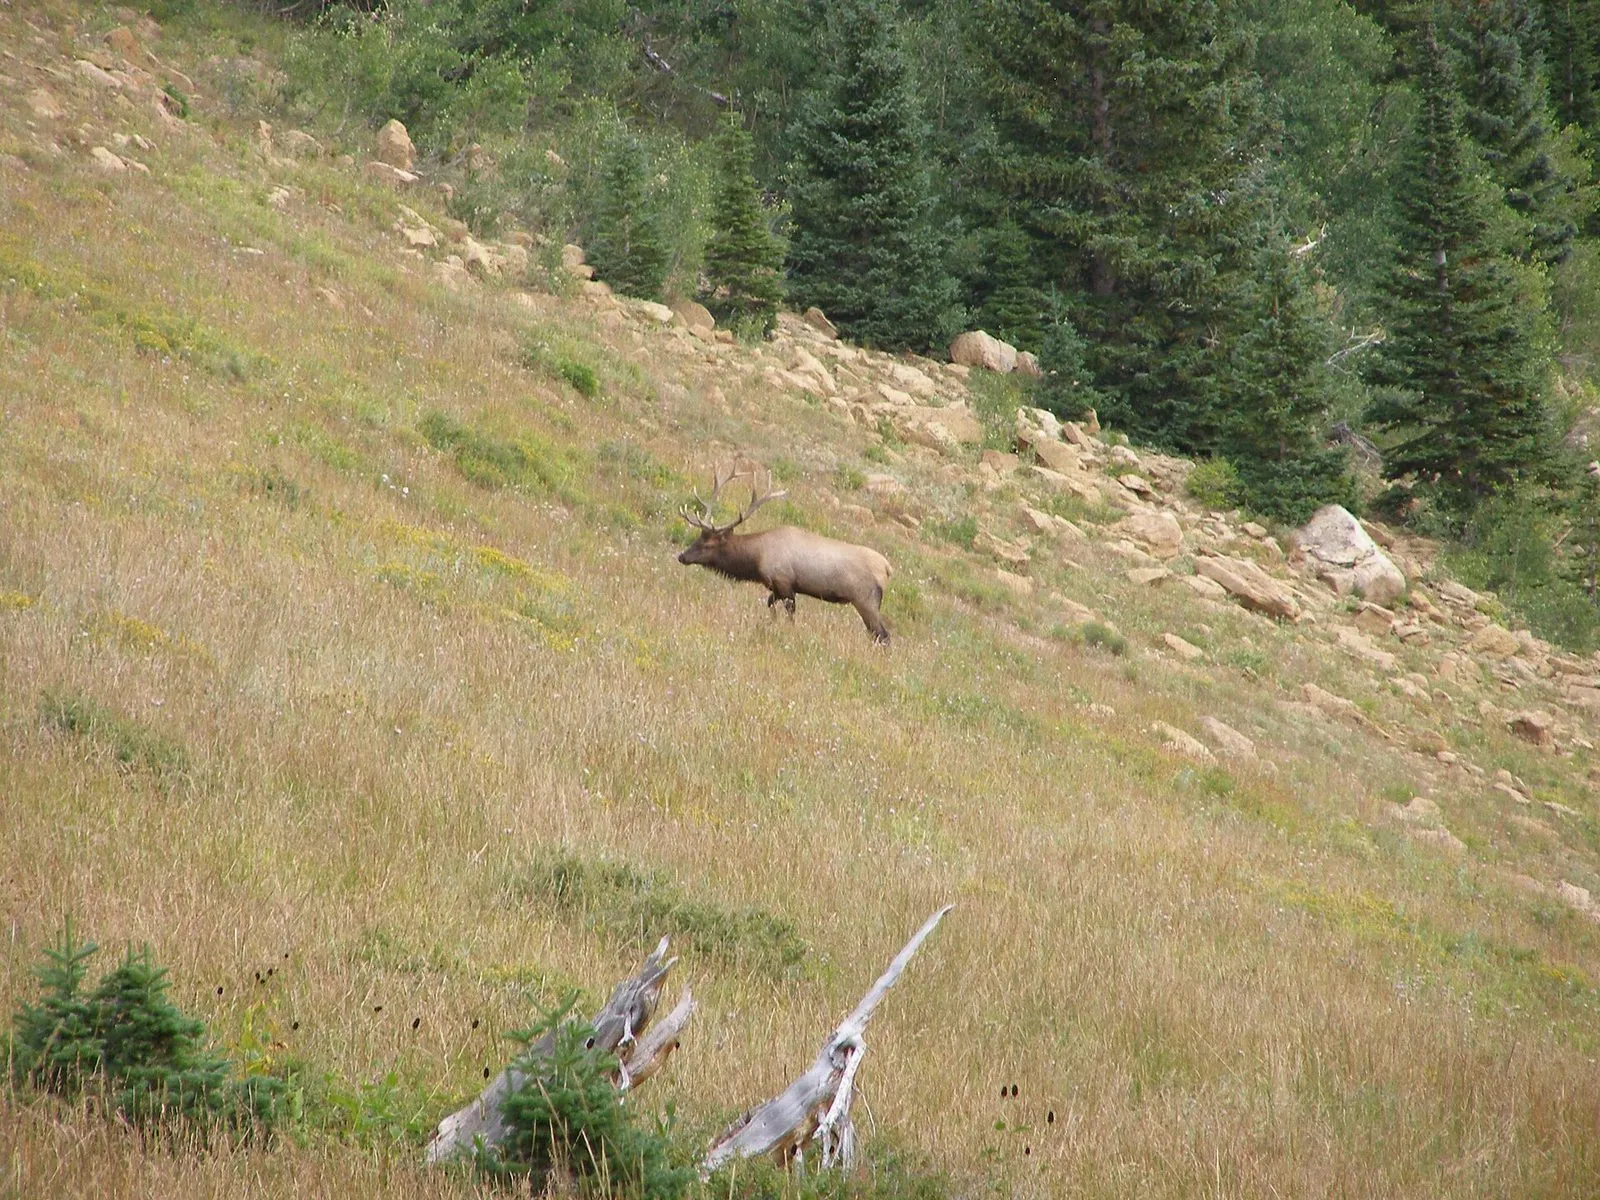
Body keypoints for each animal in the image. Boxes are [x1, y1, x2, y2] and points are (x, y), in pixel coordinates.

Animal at [677, 468, 893, 644]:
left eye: (707, 544)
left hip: (866, 600)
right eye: (698, 537)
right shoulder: (777, 587)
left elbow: (790, 615)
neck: (757, 559)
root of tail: (887, 568)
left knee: (883, 634)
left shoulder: (785, 583)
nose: (682, 556)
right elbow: (769, 604)